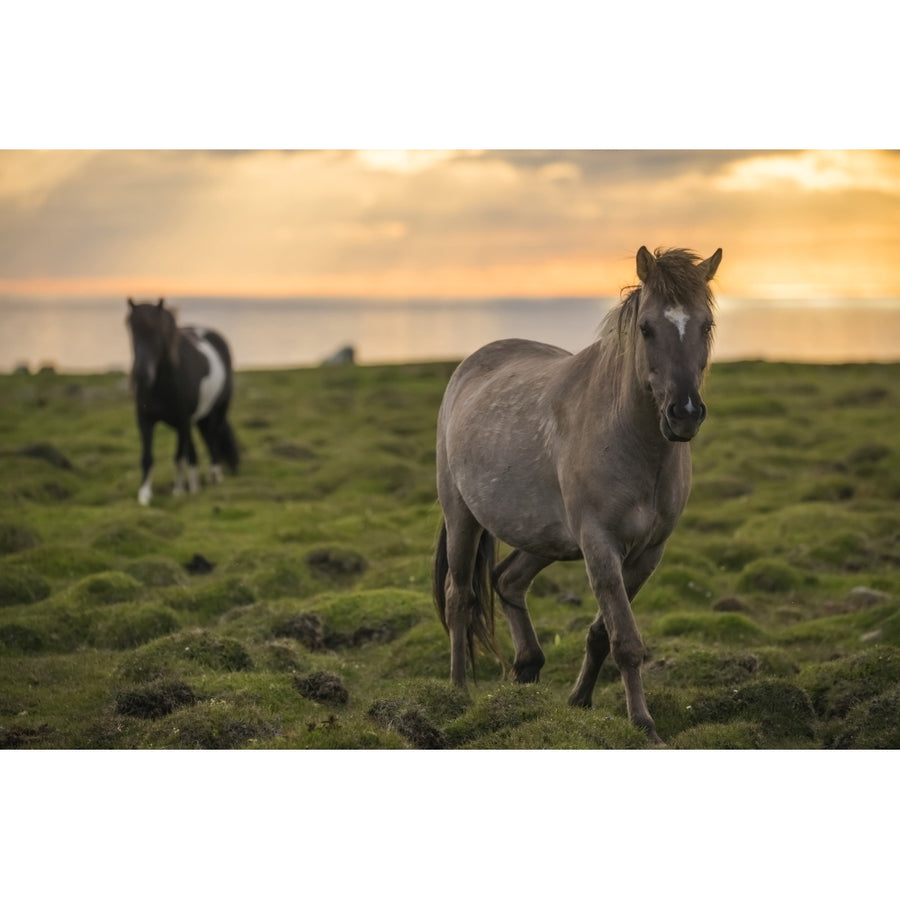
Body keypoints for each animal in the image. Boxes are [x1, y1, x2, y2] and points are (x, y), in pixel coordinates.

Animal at [127, 298, 239, 502]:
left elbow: (178, 457)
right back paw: (195, 485)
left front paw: (178, 491)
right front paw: (145, 494)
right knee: (199, 445)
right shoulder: (145, 420)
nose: (141, 374)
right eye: (131, 329)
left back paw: (214, 475)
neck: (162, 385)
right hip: (198, 419)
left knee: (213, 436)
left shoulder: (182, 421)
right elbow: (147, 456)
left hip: (217, 410)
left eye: (157, 331)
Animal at [432, 248, 720, 744]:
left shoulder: (645, 555)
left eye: (705, 325)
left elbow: (603, 634)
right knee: (459, 598)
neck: (631, 440)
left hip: (544, 537)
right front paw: (644, 726)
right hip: (462, 517)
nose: (683, 414)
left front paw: (580, 702)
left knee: (508, 580)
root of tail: (471, 366)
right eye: (646, 328)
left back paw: (527, 669)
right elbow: (625, 641)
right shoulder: (601, 546)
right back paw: (458, 690)